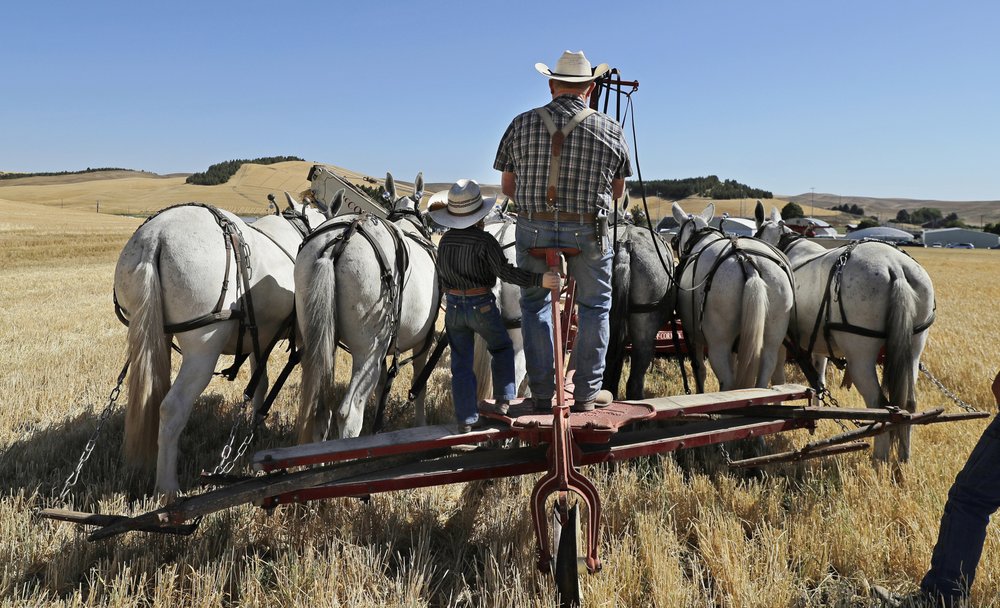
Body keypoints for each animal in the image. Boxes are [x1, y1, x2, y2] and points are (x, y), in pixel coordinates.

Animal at [114, 196, 330, 498]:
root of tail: (155, 237)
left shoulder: (260, 338)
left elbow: (260, 384)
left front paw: (257, 426)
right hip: (202, 351)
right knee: (172, 408)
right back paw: (167, 489)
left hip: (154, 335)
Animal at [294, 171, 440, 442]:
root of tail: (338, 242)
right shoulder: (422, 341)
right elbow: (419, 385)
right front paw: (420, 426)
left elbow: (383, 385)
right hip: (368, 349)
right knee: (348, 413)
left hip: (321, 340)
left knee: (320, 410)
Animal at [672, 204, 796, 392]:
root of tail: (747, 262)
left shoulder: (693, 337)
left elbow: (699, 369)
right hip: (773, 337)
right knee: (765, 373)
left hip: (719, 345)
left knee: (727, 381)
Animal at [752, 203, 932, 460]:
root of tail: (895, 267)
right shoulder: (817, 346)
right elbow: (819, 378)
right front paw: (814, 416)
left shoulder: (781, 343)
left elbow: (778, 380)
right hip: (913, 349)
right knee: (908, 403)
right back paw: (903, 460)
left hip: (860, 357)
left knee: (880, 404)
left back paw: (879, 460)